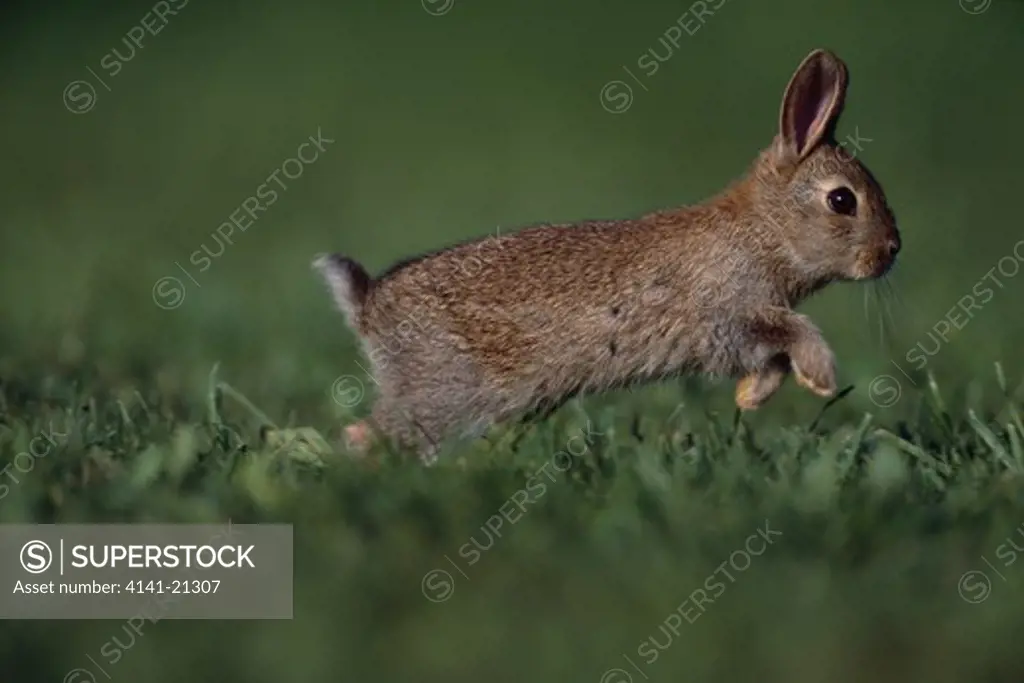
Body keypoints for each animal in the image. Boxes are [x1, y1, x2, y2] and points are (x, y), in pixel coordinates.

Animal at [315, 49, 901, 464]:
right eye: (842, 201)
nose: (890, 251)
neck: (765, 230)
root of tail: (367, 307)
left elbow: (774, 358)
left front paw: (752, 398)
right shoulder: (731, 313)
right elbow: (795, 331)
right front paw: (822, 377)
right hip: (446, 395)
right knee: (368, 435)